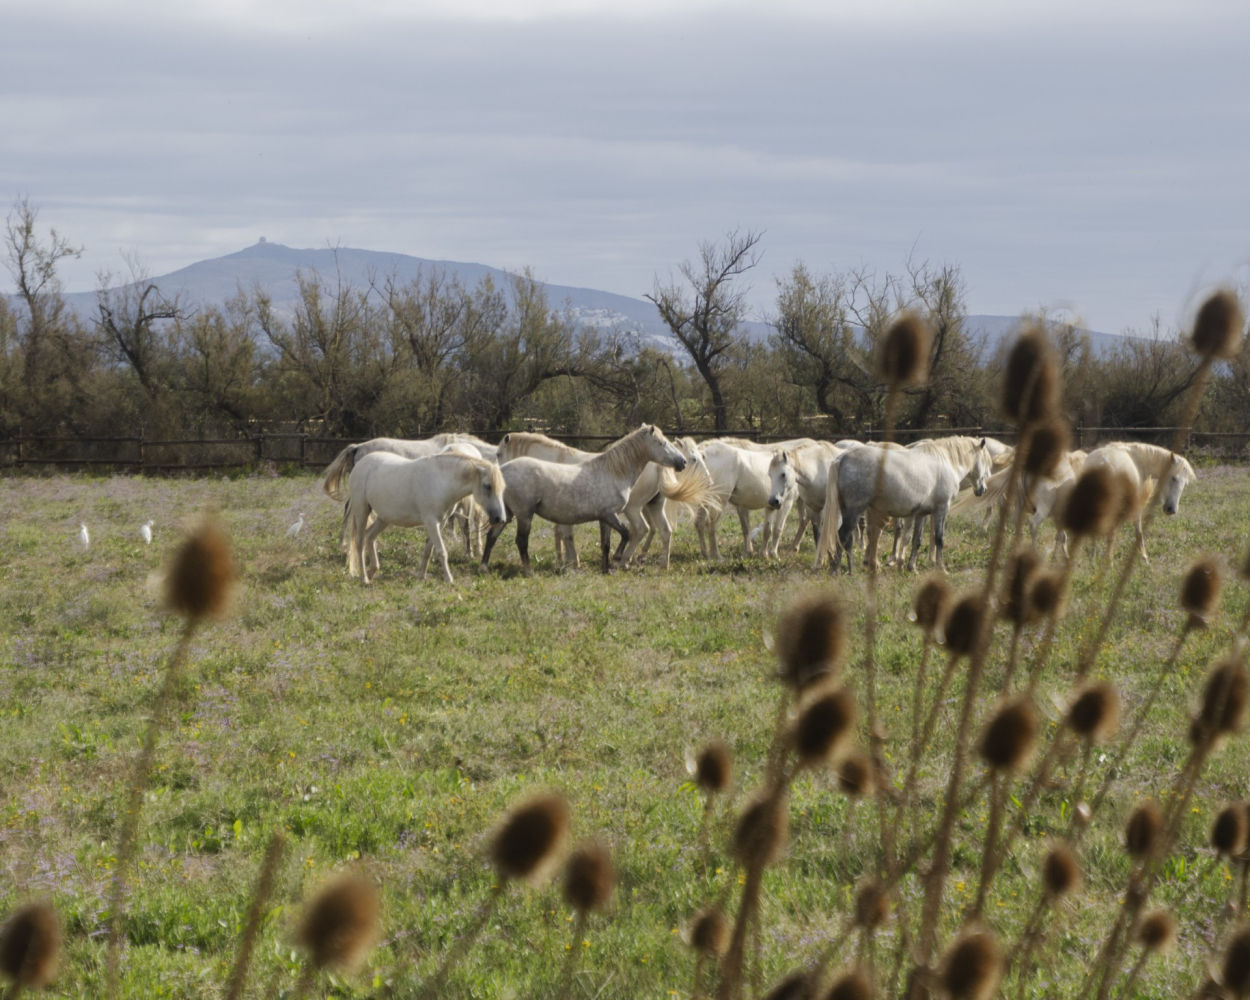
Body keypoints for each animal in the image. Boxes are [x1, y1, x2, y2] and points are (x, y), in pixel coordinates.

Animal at [344, 451, 507, 584]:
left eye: (502, 488)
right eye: (487, 486)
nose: (500, 519)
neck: (441, 481)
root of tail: (360, 464)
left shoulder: (440, 523)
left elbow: (429, 550)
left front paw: (421, 576)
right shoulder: (431, 522)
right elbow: (441, 551)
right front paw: (449, 579)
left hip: (384, 518)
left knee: (370, 536)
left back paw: (373, 570)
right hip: (362, 511)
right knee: (359, 542)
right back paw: (364, 578)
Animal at [481, 424, 688, 575]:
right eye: (662, 443)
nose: (683, 462)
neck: (612, 472)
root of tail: (504, 470)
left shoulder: (605, 518)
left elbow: (606, 543)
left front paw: (605, 568)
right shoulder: (608, 515)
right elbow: (624, 534)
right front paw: (613, 560)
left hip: (509, 514)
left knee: (492, 536)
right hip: (524, 514)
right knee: (520, 541)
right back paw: (528, 570)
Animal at [820, 435, 992, 573]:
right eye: (985, 461)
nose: (983, 489)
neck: (946, 462)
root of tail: (842, 458)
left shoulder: (922, 513)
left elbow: (917, 540)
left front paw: (912, 568)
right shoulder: (942, 509)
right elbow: (939, 539)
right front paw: (941, 568)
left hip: (847, 510)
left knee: (842, 536)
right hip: (854, 511)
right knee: (844, 535)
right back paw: (843, 570)